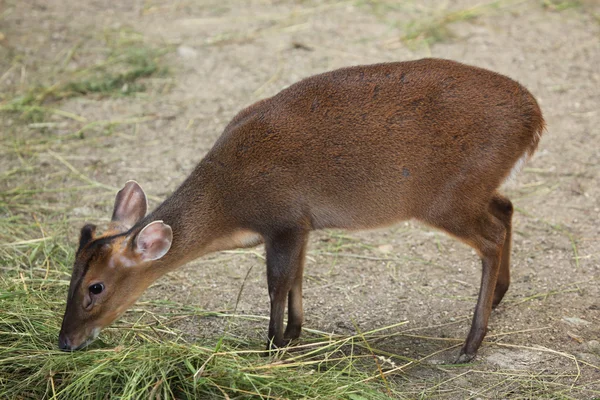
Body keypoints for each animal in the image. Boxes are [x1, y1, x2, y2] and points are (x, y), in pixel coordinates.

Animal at [59, 58, 544, 362]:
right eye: (72, 274)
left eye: (96, 287)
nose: (65, 341)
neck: (227, 205)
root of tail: (534, 119)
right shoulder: (303, 224)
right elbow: (297, 278)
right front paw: (293, 335)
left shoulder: (284, 219)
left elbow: (277, 283)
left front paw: (271, 347)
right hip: (473, 190)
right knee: (506, 207)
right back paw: (497, 299)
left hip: (446, 196)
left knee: (492, 236)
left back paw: (470, 345)